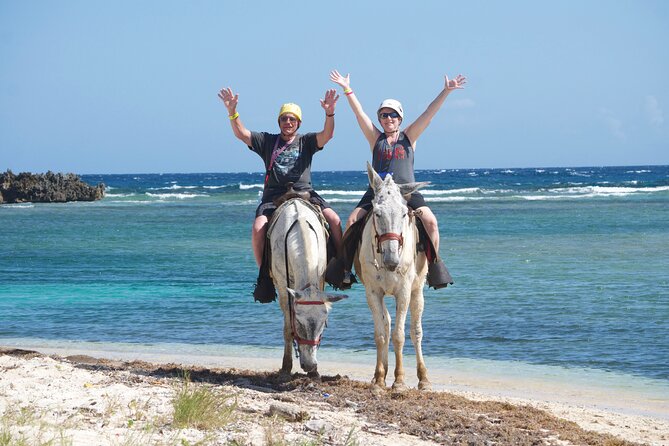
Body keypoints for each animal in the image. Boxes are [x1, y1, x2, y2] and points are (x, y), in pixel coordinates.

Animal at [267, 196, 347, 377]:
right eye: (299, 323)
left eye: (323, 323)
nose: (310, 366)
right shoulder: (283, 288)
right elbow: (287, 327)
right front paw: (286, 367)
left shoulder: (320, 279)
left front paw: (315, 373)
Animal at [354, 162, 431, 392]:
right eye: (377, 214)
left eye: (405, 214)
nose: (391, 260)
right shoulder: (373, 293)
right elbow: (381, 335)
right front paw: (380, 380)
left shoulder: (403, 292)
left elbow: (399, 336)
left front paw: (399, 381)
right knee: (387, 325)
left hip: (417, 292)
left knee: (416, 331)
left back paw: (423, 379)